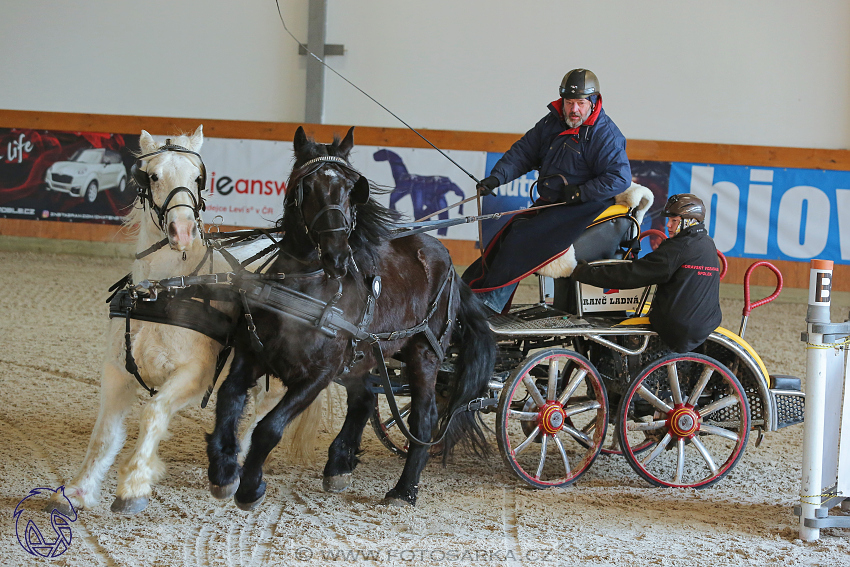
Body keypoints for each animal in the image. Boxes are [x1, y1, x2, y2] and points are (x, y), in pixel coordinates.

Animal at [205, 126, 494, 508]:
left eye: (350, 188)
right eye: (305, 187)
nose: (338, 256)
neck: (305, 290)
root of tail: (448, 263)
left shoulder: (319, 373)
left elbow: (269, 428)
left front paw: (251, 487)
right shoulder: (251, 355)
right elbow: (228, 400)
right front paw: (223, 470)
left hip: (424, 352)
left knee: (425, 416)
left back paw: (404, 489)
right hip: (366, 354)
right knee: (366, 398)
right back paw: (339, 465)